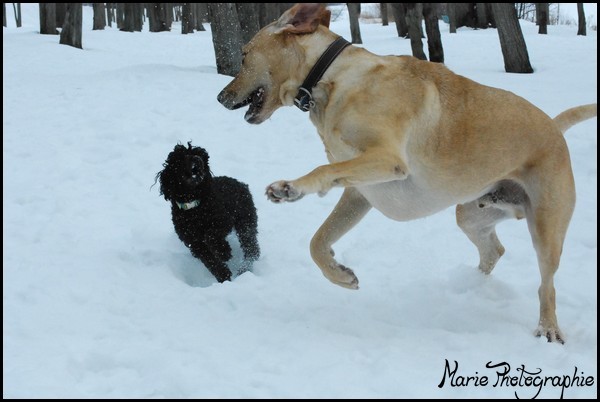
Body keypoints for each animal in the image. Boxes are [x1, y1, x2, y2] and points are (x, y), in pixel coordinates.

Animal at [156, 141, 258, 282]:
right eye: (183, 157)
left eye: (202, 156)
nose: (198, 160)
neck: (195, 207)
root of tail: (241, 183)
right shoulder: (194, 242)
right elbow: (209, 260)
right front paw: (223, 275)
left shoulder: (222, 221)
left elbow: (211, 235)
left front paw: (224, 252)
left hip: (245, 220)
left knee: (251, 247)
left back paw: (245, 268)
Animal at [218, 3, 596, 342]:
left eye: (244, 55)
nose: (221, 96)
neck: (334, 79)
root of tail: (554, 128)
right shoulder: (360, 192)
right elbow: (318, 240)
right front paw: (340, 274)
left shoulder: (387, 160)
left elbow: (323, 169)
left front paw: (290, 188)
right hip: (472, 214)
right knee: (494, 251)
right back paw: (472, 285)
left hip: (546, 229)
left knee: (546, 286)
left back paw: (548, 328)